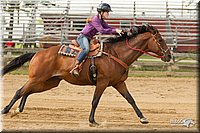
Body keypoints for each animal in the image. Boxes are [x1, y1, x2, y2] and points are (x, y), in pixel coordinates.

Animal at [0, 24, 171, 125]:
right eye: (160, 40)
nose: (169, 56)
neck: (116, 54)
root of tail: (38, 53)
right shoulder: (102, 82)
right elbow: (95, 101)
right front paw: (92, 121)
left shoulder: (118, 83)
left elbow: (130, 99)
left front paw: (143, 118)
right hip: (37, 78)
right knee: (19, 91)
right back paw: (6, 110)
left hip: (49, 82)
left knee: (27, 92)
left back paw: (17, 110)